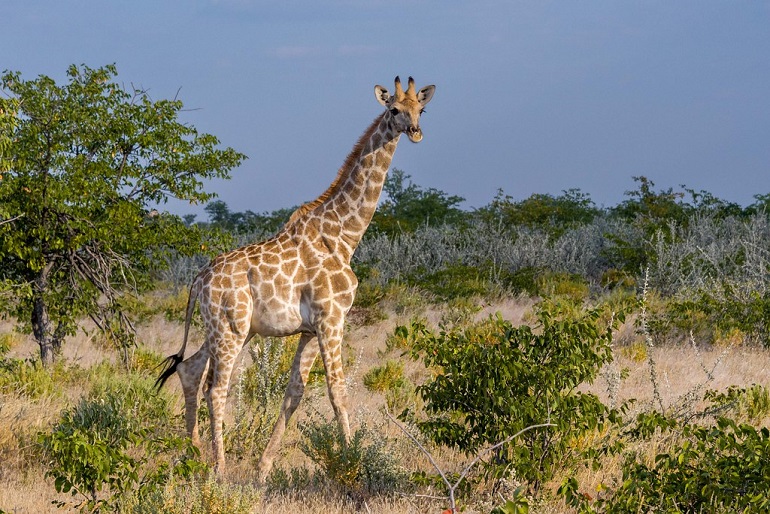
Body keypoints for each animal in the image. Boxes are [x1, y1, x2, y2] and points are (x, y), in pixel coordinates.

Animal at [156, 76, 432, 480]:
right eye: (394, 109)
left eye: (421, 109)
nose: (414, 131)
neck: (344, 236)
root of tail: (197, 281)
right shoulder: (331, 319)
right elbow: (337, 391)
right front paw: (353, 463)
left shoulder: (309, 329)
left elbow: (295, 392)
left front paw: (263, 470)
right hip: (230, 328)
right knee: (216, 388)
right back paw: (218, 468)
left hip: (230, 328)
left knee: (191, 369)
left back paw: (192, 455)